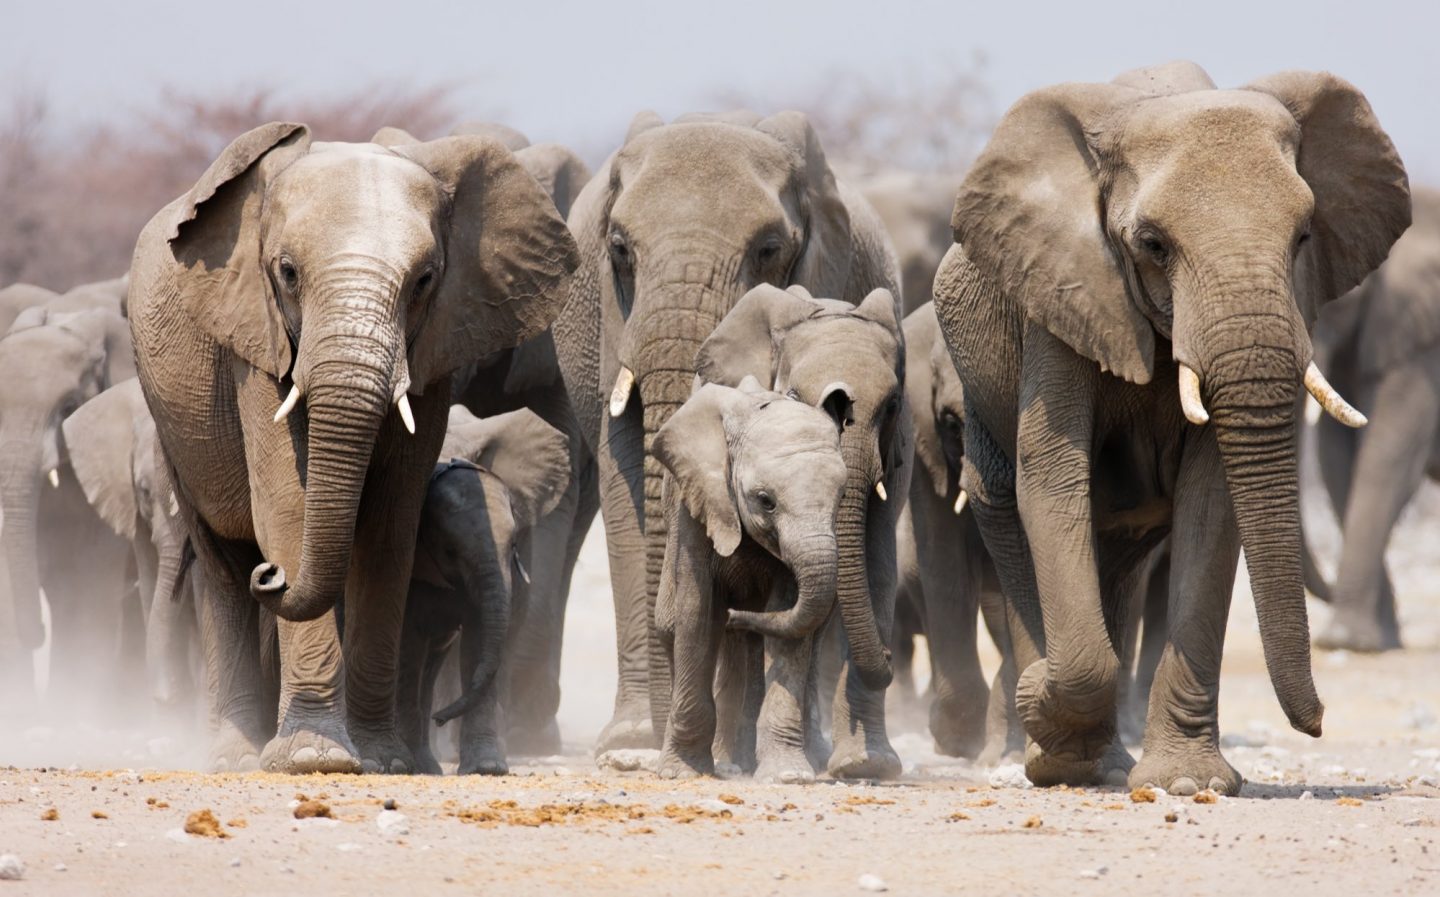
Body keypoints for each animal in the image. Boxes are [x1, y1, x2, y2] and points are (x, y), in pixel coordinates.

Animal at [399, 406, 571, 775]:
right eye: (449, 550)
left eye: (514, 544)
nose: (440, 718)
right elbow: (406, 639)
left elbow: (483, 639)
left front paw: (487, 768)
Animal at [652, 379, 850, 782]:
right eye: (765, 500)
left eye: (841, 497)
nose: (733, 614)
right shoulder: (696, 507)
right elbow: (697, 615)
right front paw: (682, 773)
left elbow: (789, 629)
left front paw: (788, 775)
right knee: (670, 626)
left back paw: (735, 762)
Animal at [695, 283, 911, 778]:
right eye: (792, 394)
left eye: (891, 405)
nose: (891, 657)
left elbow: (877, 566)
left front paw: (866, 766)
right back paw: (733, 759)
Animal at [934, 61, 1409, 794]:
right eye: (1153, 245)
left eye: (1304, 236)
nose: (1319, 723)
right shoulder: (1060, 294)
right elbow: (1054, 476)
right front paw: (1046, 718)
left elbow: (1212, 501)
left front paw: (1186, 783)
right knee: (1014, 520)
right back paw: (1054, 753)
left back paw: (1102, 761)